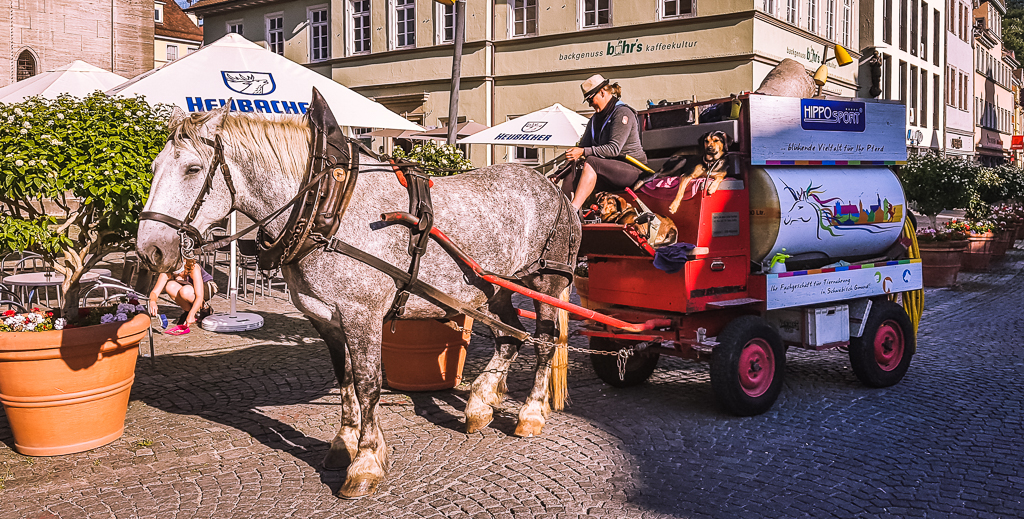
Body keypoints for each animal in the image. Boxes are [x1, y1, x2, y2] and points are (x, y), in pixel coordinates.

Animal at [136, 104, 581, 499]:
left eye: (193, 169)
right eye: (154, 167)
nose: (150, 249)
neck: (326, 206)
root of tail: (551, 185)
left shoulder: (362, 315)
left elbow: (368, 383)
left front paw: (365, 463)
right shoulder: (326, 317)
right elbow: (345, 377)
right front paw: (344, 443)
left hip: (546, 282)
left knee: (544, 343)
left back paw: (530, 414)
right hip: (491, 287)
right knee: (511, 337)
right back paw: (481, 403)